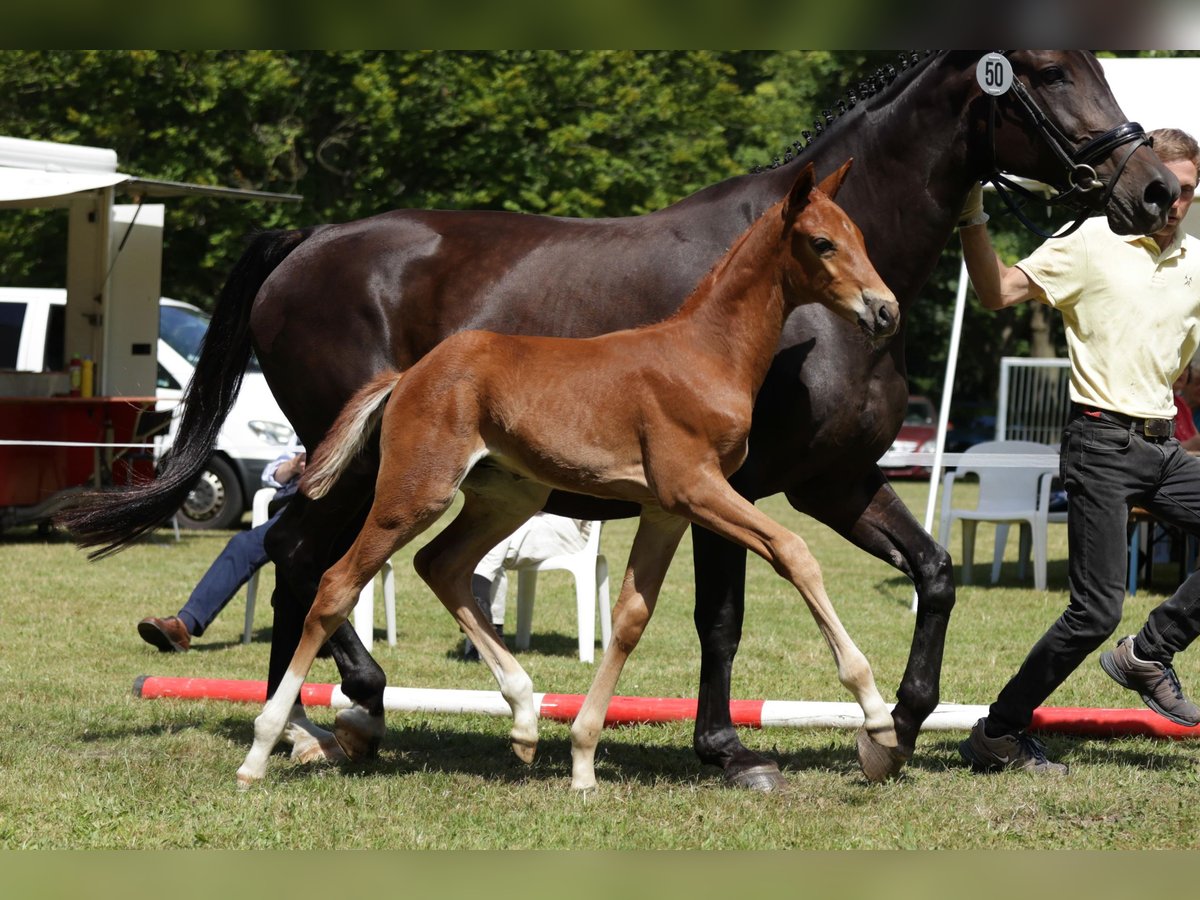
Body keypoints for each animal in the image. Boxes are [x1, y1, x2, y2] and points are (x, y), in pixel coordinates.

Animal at [236, 162, 902, 787]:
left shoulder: (665, 509)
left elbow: (631, 617)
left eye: (862, 237)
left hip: (507, 499)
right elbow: (793, 551)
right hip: (414, 492)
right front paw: (876, 716)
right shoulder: (697, 488)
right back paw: (268, 745)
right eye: (822, 242)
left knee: (441, 566)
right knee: (334, 583)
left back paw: (525, 719)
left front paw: (582, 758)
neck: (705, 354)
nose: (885, 310)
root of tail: (408, 375)